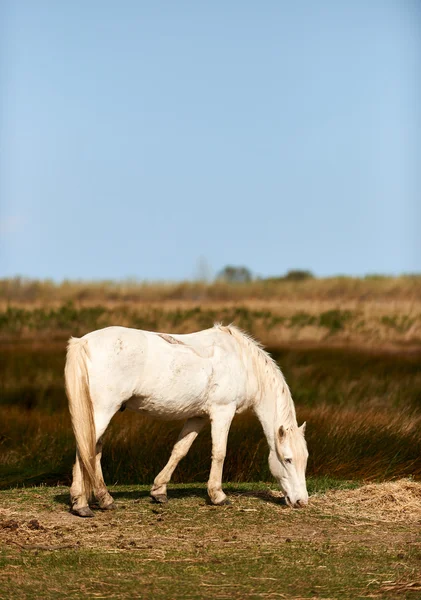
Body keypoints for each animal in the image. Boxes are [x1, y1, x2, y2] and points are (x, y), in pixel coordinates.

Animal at [65, 324, 308, 516]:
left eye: (304, 459)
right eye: (287, 459)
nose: (301, 501)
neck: (242, 362)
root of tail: (83, 342)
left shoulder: (197, 417)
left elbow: (180, 450)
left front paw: (159, 491)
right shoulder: (222, 412)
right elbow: (219, 452)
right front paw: (217, 495)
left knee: (94, 451)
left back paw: (105, 499)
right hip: (102, 411)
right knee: (85, 450)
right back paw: (81, 504)